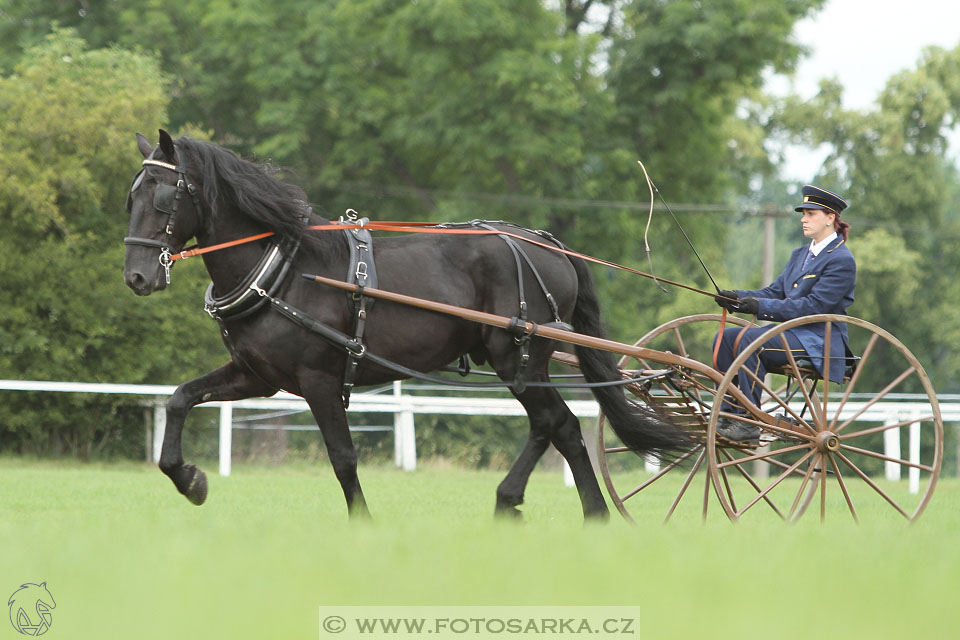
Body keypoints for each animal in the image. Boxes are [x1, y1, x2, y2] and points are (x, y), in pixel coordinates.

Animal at [122, 129, 688, 520]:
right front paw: (189, 479)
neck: (284, 269)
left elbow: (343, 457)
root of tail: (546, 243)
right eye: (131, 196)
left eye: (164, 197)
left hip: (517, 357)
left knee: (558, 424)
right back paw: (552, 508)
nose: (137, 276)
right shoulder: (257, 377)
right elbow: (179, 398)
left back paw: (563, 508)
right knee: (556, 426)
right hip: (519, 362)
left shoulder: (318, 380)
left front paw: (363, 524)